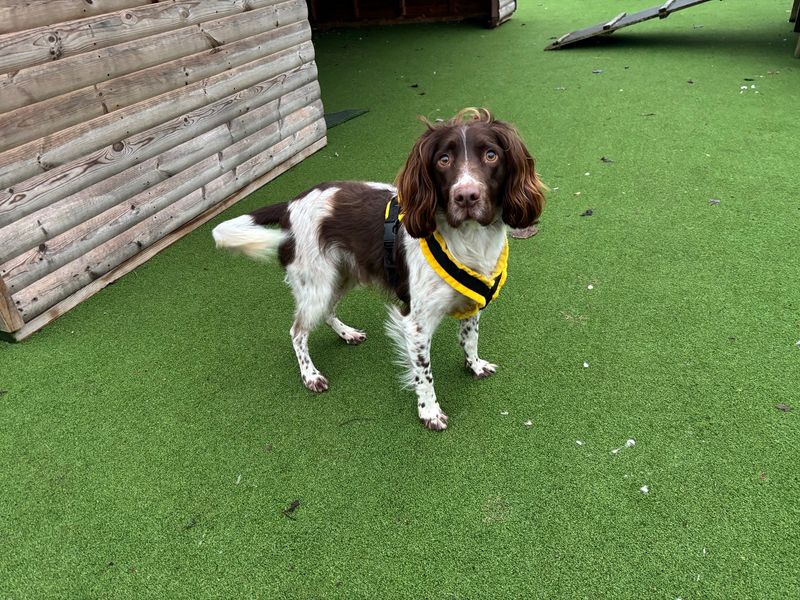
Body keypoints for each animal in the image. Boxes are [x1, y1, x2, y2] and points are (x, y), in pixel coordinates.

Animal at [212, 106, 544, 426]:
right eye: (444, 160)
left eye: (491, 155)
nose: (466, 196)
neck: (470, 240)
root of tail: (290, 204)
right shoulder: (415, 324)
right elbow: (424, 373)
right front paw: (429, 412)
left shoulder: (472, 302)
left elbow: (470, 338)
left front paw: (474, 365)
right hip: (316, 283)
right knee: (297, 332)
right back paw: (310, 375)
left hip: (340, 276)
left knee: (328, 313)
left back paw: (347, 334)